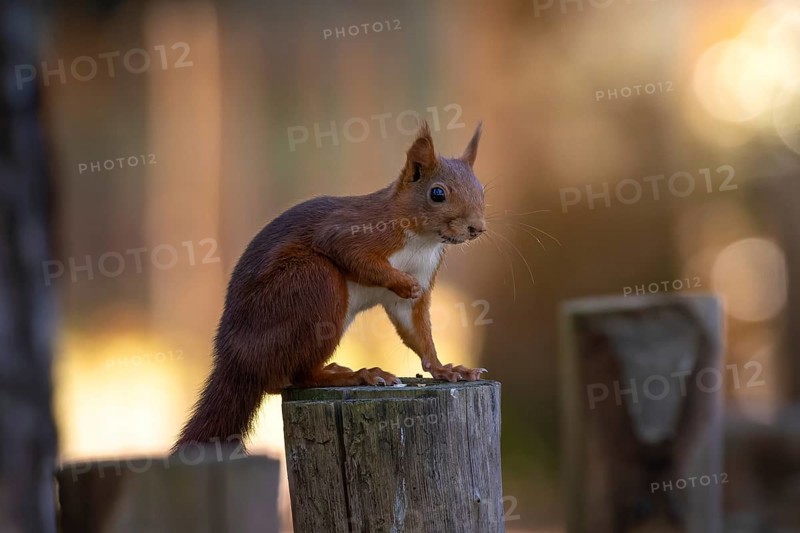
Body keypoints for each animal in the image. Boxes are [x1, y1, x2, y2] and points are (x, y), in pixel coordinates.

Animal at [173, 121, 488, 450]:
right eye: (437, 193)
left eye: (481, 189)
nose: (477, 228)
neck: (421, 240)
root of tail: (234, 363)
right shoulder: (355, 230)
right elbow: (349, 252)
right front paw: (402, 282)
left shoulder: (422, 276)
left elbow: (417, 329)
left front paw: (445, 369)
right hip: (313, 282)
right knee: (295, 377)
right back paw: (353, 375)